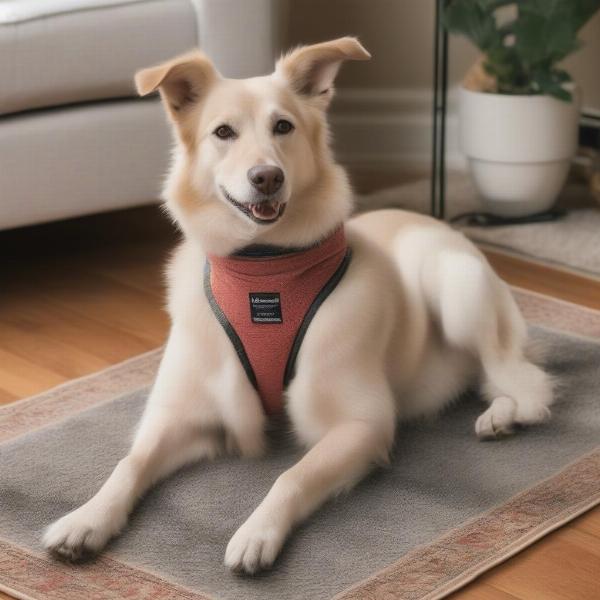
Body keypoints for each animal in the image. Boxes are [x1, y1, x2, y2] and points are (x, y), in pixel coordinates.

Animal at [43, 36, 552, 572]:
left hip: (452, 284)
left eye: (283, 126)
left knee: (521, 377)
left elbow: (292, 475)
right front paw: (87, 519)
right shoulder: (186, 415)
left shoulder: (361, 424)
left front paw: (257, 533)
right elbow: (130, 462)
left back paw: (506, 414)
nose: (266, 177)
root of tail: (433, 220)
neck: (264, 270)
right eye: (223, 132)